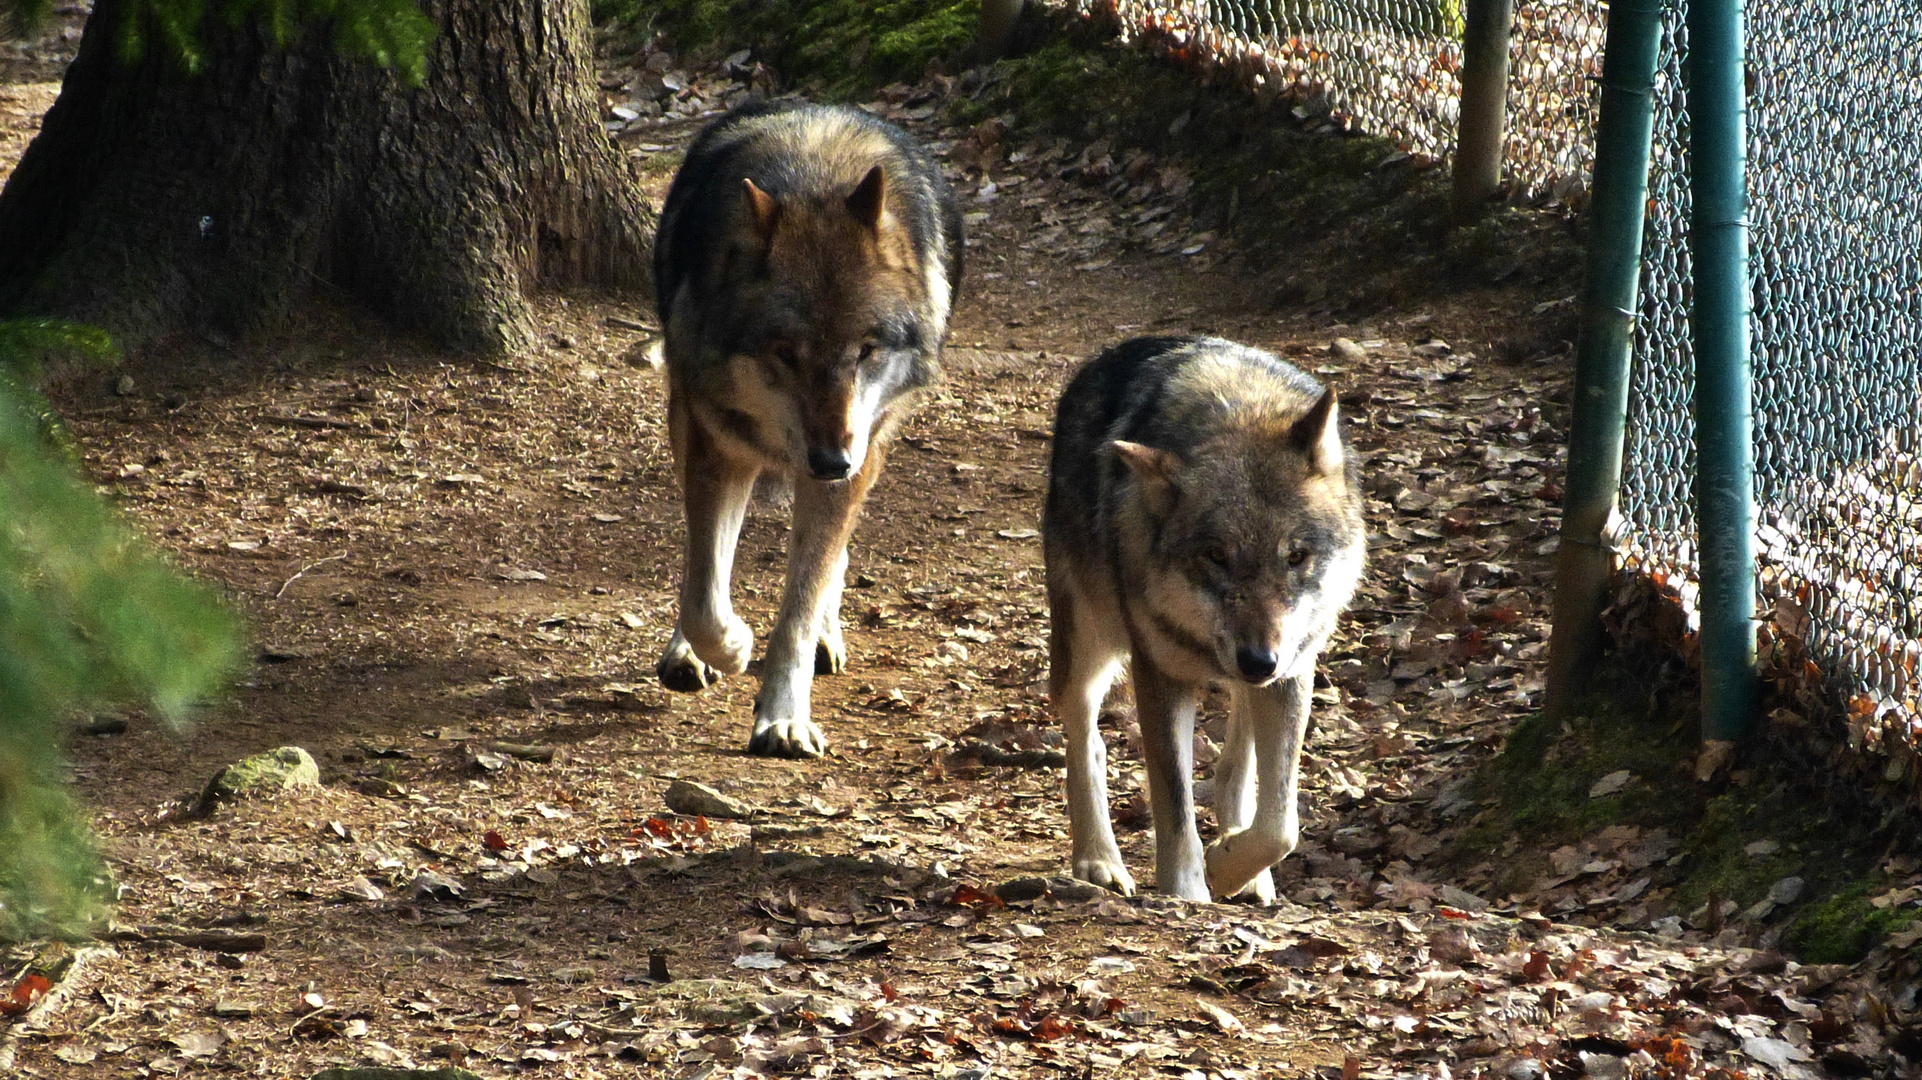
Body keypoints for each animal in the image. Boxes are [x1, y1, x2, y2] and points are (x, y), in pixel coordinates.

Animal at [653, 98, 968, 757]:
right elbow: (704, 590)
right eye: (785, 353)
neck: (814, 177)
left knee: (831, 559)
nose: (830, 462)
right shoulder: (718, 444)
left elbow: (798, 602)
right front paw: (729, 646)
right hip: (688, 421)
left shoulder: (857, 452)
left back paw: (825, 633)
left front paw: (783, 717)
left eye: (866, 350)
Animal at [1037, 336, 1368, 899]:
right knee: (1088, 742)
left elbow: (1281, 824)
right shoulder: (1160, 674)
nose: (1258, 660)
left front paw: (1230, 865)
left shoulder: (1293, 670)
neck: (1239, 409)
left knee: (1236, 768)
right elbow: (1174, 805)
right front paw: (1189, 890)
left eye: (1296, 556)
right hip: (1088, 640)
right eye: (1216, 556)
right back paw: (1098, 860)